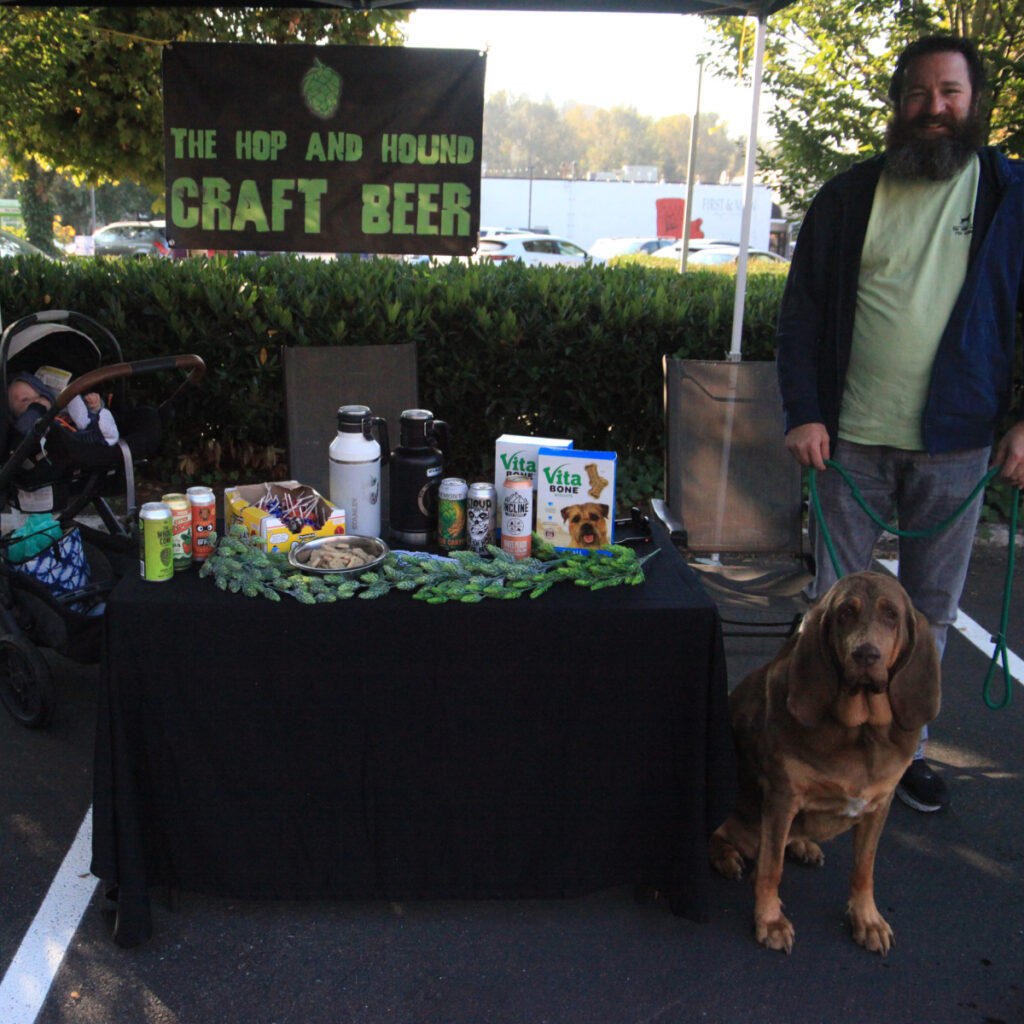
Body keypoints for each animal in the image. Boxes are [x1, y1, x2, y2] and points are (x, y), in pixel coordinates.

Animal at [709, 571, 940, 955]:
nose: (866, 654)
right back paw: (726, 856)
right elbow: (771, 869)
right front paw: (770, 921)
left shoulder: (880, 804)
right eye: (846, 612)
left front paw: (867, 920)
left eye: (891, 614)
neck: (860, 732)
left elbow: (864, 869)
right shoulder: (782, 795)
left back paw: (802, 845)